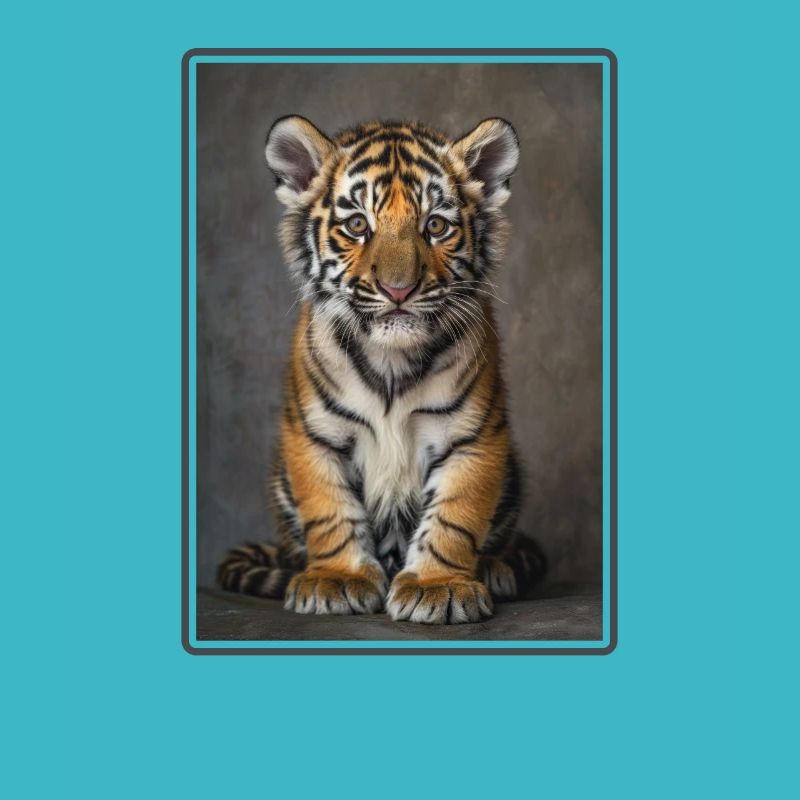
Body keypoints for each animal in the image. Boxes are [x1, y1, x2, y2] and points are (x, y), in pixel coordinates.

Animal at [217, 115, 546, 624]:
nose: (398, 290)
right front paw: (337, 579)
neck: (392, 360)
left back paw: (494, 569)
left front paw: (437, 586)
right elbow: (329, 511)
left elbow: (455, 516)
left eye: (435, 226)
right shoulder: (314, 434)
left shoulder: (473, 436)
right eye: (357, 225)